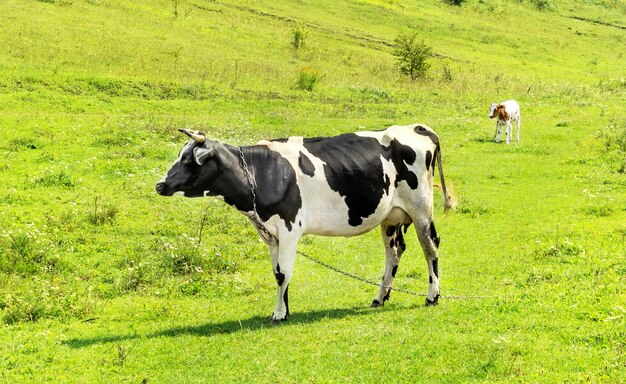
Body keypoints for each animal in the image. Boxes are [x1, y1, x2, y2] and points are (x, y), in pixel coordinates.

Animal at [157, 124, 454, 320]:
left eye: (188, 160)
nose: (160, 185)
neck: (259, 172)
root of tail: (416, 128)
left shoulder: (289, 228)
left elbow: (283, 272)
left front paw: (279, 313)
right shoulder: (271, 233)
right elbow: (277, 272)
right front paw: (284, 308)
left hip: (421, 207)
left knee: (430, 246)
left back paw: (432, 296)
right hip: (390, 215)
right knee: (394, 251)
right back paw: (379, 298)